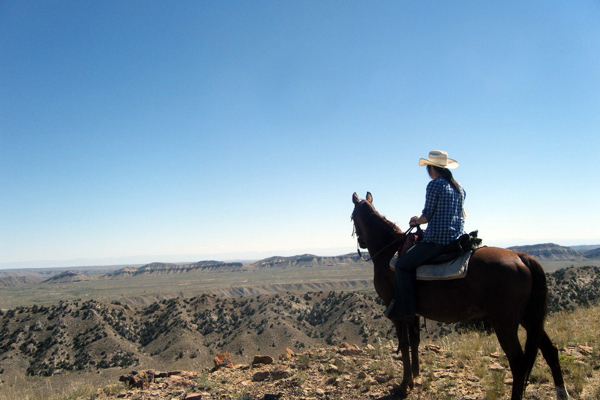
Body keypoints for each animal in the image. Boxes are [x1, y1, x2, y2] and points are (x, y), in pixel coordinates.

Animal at [354, 192, 568, 398]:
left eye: (352, 217)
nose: (361, 243)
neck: (388, 250)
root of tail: (523, 257)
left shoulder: (397, 313)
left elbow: (404, 345)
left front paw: (404, 384)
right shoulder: (412, 312)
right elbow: (414, 342)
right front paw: (415, 377)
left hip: (505, 322)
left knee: (518, 362)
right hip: (528, 317)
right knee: (550, 350)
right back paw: (561, 393)